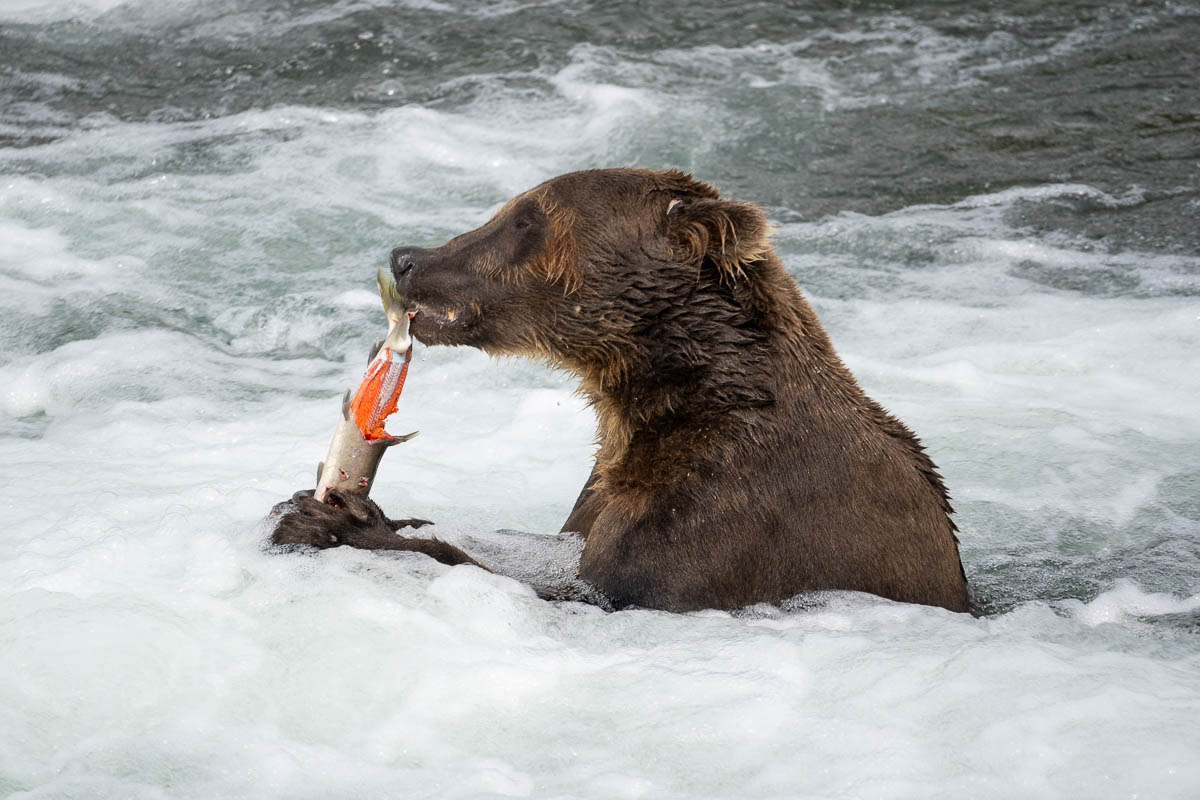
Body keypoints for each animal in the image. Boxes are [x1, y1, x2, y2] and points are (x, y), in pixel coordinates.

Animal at [270, 165, 964, 609]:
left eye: (526, 218)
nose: (408, 257)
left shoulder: (733, 511)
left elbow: (602, 593)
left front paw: (330, 521)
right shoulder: (608, 485)